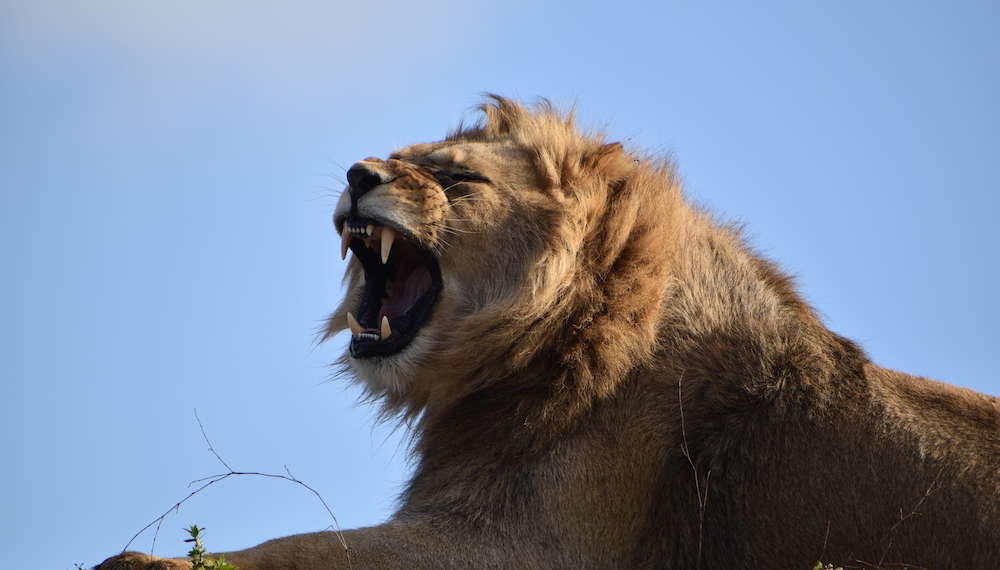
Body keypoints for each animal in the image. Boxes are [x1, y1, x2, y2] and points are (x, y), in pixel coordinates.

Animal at [101, 95, 1000, 564]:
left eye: (458, 180)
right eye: (394, 156)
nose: (358, 175)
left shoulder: (530, 545)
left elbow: (309, 549)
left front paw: (145, 560)